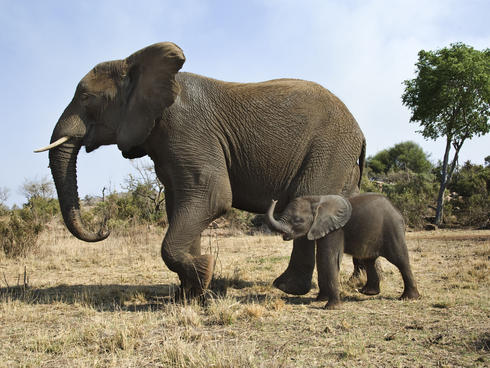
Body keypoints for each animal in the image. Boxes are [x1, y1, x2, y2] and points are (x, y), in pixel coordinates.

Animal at [35, 43, 364, 296]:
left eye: (86, 98)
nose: (104, 228)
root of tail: (359, 133)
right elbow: (181, 203)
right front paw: (190, 293)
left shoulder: (186, 127)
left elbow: (212, 196)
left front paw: (205, 273)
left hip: (329, 148)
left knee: (307, 199)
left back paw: (287, 288)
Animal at [266, 194, 420, 310]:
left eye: (298, 220)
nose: (274, 200)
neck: (317, 200)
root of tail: (397, 211)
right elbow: (321, 259)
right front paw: (320, 299)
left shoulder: (336, 230)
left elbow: (329, 258)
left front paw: (331, 307)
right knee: (369, 260)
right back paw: (368, 292)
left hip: (392, 229)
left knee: (400, 260)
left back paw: (408, 298)